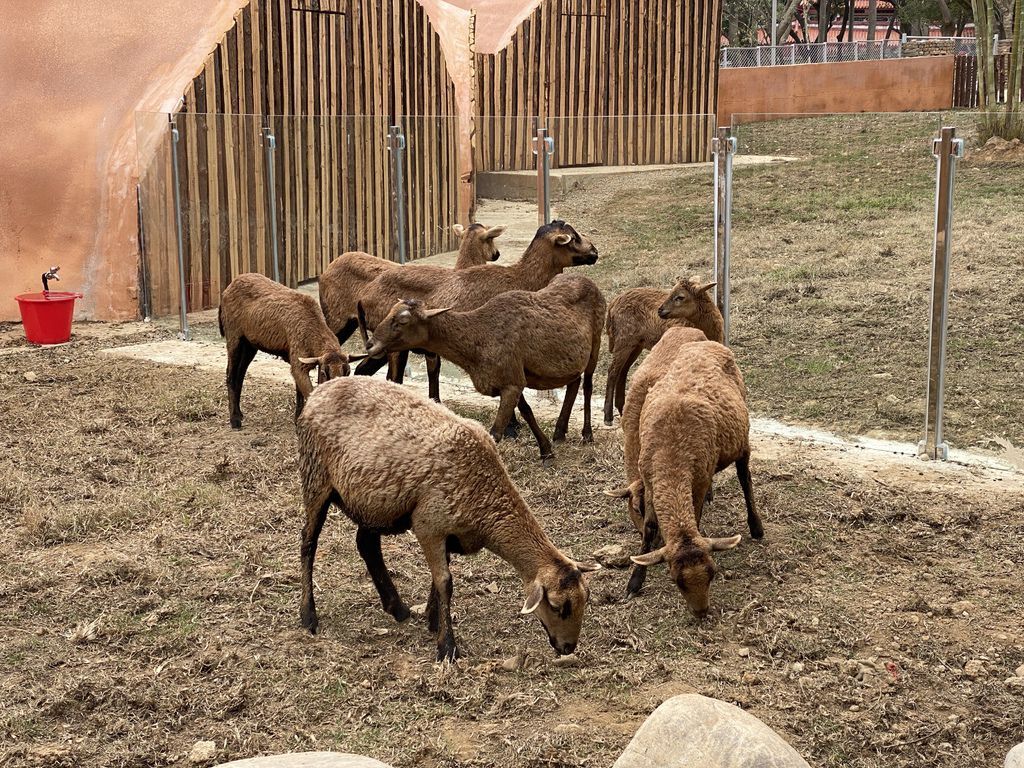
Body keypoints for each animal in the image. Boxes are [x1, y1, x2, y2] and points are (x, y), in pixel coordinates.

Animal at [218, 270, 350, 430]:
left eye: (348, 372)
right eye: (324, 372)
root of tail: (229, 286)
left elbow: (300, 392)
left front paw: (298, 418)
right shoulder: (298, 361)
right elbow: (307, 392)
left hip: (249, 344)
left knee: (240, 374)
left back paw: (239, 413)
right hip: (234, 336)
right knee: (230, 375)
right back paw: (234, 420)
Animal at [296, 376, 598, 663]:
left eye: (585, 599)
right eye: (557, 606)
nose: (568, 647)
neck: (486, 493)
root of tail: (320, 391)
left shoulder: (450, 533)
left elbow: (438, 579)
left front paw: (433, 621)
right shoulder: (429, 524)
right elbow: (445, 582)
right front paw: (447, 647)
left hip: (373, 502)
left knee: (366, 544)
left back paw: (397, 608)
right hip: (316, 477)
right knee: (309, 543)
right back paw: (308, 616)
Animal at [358, 274, 602, 462]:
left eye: (402, 321)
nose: (370, 345)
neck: (479, 336)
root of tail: (585, 278)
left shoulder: (511, 382)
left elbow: (495, 434)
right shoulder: (511, 378)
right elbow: (527, 412)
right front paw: (546, 451)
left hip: (596, 344)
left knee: (587, 385)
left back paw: (587, 434)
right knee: (574, 382)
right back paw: (560, 432)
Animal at [602, 278, 724, 428]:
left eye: (680, 297)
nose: (660, 310)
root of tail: (613, 303)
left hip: (636, 344)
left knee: (622, 372)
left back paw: (621, 409)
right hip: (624, 339)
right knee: (613, 372)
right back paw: (608, 416)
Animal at [602, 325, 765, 618]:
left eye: (713, 573)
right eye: (676, 579)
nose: (701, 613)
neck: (672, 456)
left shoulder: (696, 482)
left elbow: (697, 518)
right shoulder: (651, 480)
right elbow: (651, 526)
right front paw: (635, 581)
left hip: (742, 439)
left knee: (745, 478)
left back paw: (756, 527)